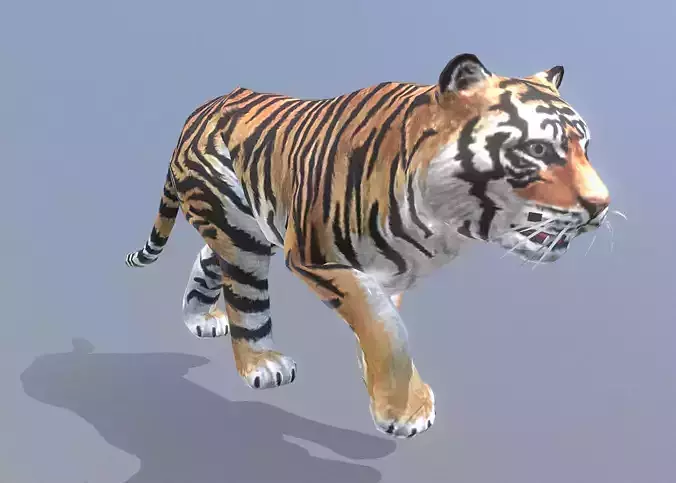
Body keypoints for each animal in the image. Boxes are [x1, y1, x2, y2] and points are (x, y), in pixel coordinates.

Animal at [125, 53, 610, 439]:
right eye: (538, 149)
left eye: (586, 147)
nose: (602, 205)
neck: (441, 220)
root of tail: (202, 107)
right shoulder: (316, 256)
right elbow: (384, 326)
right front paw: (405, 410)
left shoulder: (390, 270)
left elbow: (382, 324)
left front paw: (382, 387)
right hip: (238, 233)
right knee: (243, 294)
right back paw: (262, 363)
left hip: (246, 225)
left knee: (210, 260)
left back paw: (202, 319)